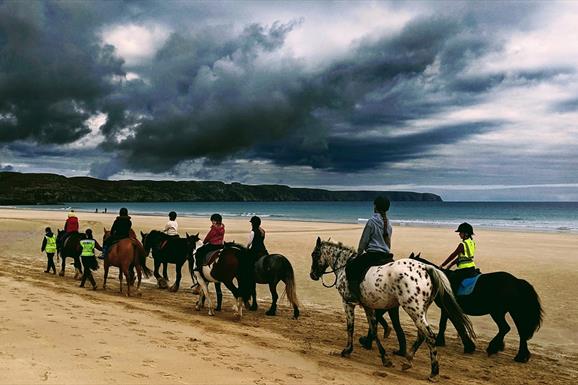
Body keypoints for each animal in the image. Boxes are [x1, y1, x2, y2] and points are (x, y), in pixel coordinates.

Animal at [308, 237, 474, 380]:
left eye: (314, 254)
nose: (312, 275)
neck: (345, 265)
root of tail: (426, 268)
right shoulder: (368, 306)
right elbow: (374, 330)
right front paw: (384, 358)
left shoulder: (347, 302)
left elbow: (351, 327)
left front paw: (347, 350)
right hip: (420, 311)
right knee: (421, 335)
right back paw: (408, 361)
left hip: (413, 309)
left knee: (429, 335)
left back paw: (433, 371)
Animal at [404, 254, 540, 362]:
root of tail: (516, 281)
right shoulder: (447, 309)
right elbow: (449, 325)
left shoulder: (448, 308)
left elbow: (453, 325)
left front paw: (465, 345)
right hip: (508, 311)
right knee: (516, 331)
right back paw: (519, 355)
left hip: (498, 312)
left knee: (507, 328)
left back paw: (496, 349)